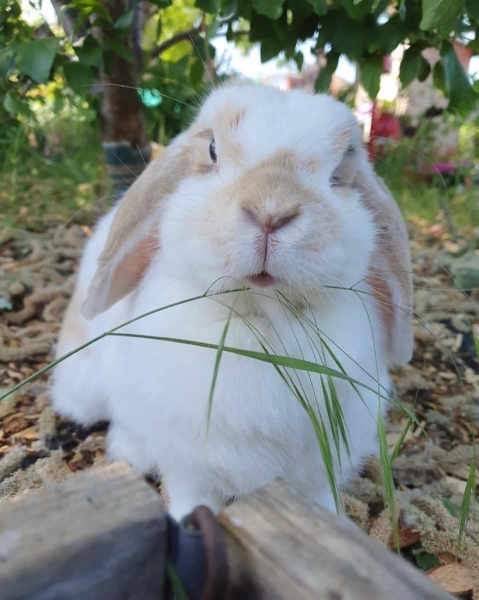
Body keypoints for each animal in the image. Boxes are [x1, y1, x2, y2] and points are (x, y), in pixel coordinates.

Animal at [51, 84, 412, 520]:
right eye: (211, 150)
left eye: (341, 171)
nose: (271, 211)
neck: (260, 315)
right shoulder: (186, 463)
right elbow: (191, 496)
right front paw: (187, 519)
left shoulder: (315, 470)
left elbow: (321, 500)